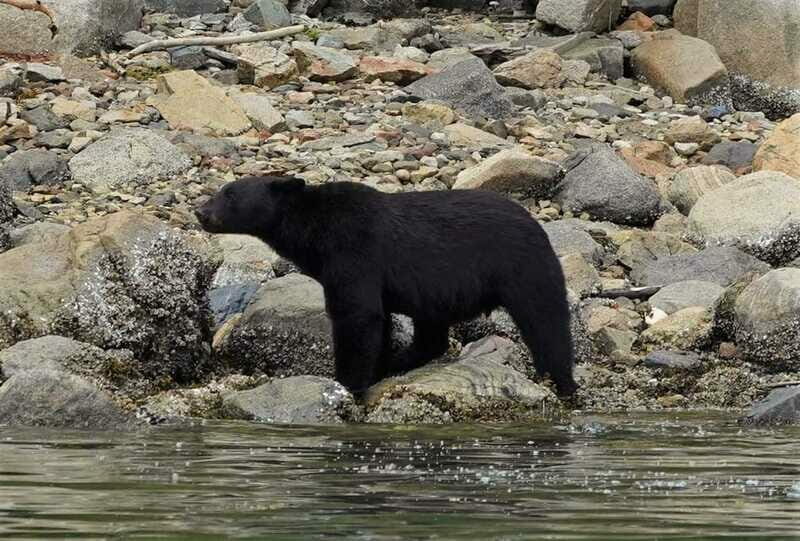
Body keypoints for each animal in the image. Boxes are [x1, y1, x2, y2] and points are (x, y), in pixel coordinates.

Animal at [195, 175, 577, 398]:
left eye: (230, 194)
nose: (200, 211)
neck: (314, 229)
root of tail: (538, 224)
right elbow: (377, 322)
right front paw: (376, 368)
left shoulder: (352, 250)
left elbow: (357, 315)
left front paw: (347, 383)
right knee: (432, 334)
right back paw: (400, 361)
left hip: (523, 267)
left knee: (546, 323)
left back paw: (562, 382)